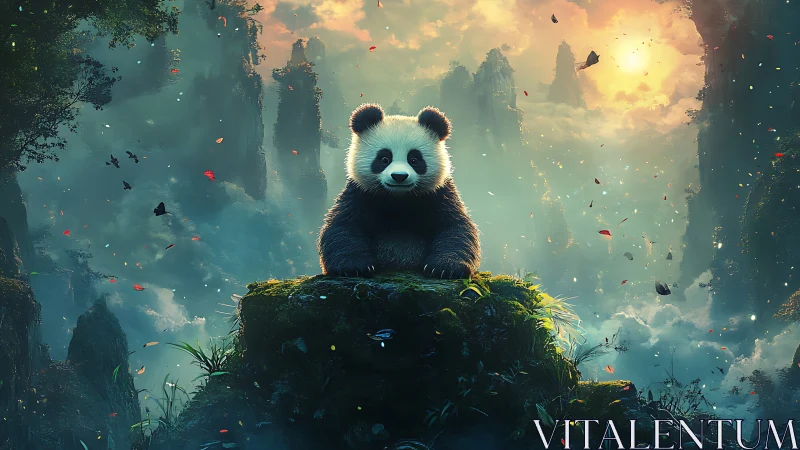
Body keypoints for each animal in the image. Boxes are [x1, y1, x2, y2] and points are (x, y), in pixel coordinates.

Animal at [317, 103, 481, 279]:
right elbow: (343, 226)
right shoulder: (360, 193)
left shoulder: (439, 194)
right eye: (384, 159)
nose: (399, 176)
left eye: (414, 159)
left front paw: (445, 268)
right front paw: (353, 266)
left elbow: (455, 228)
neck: (398, 197)